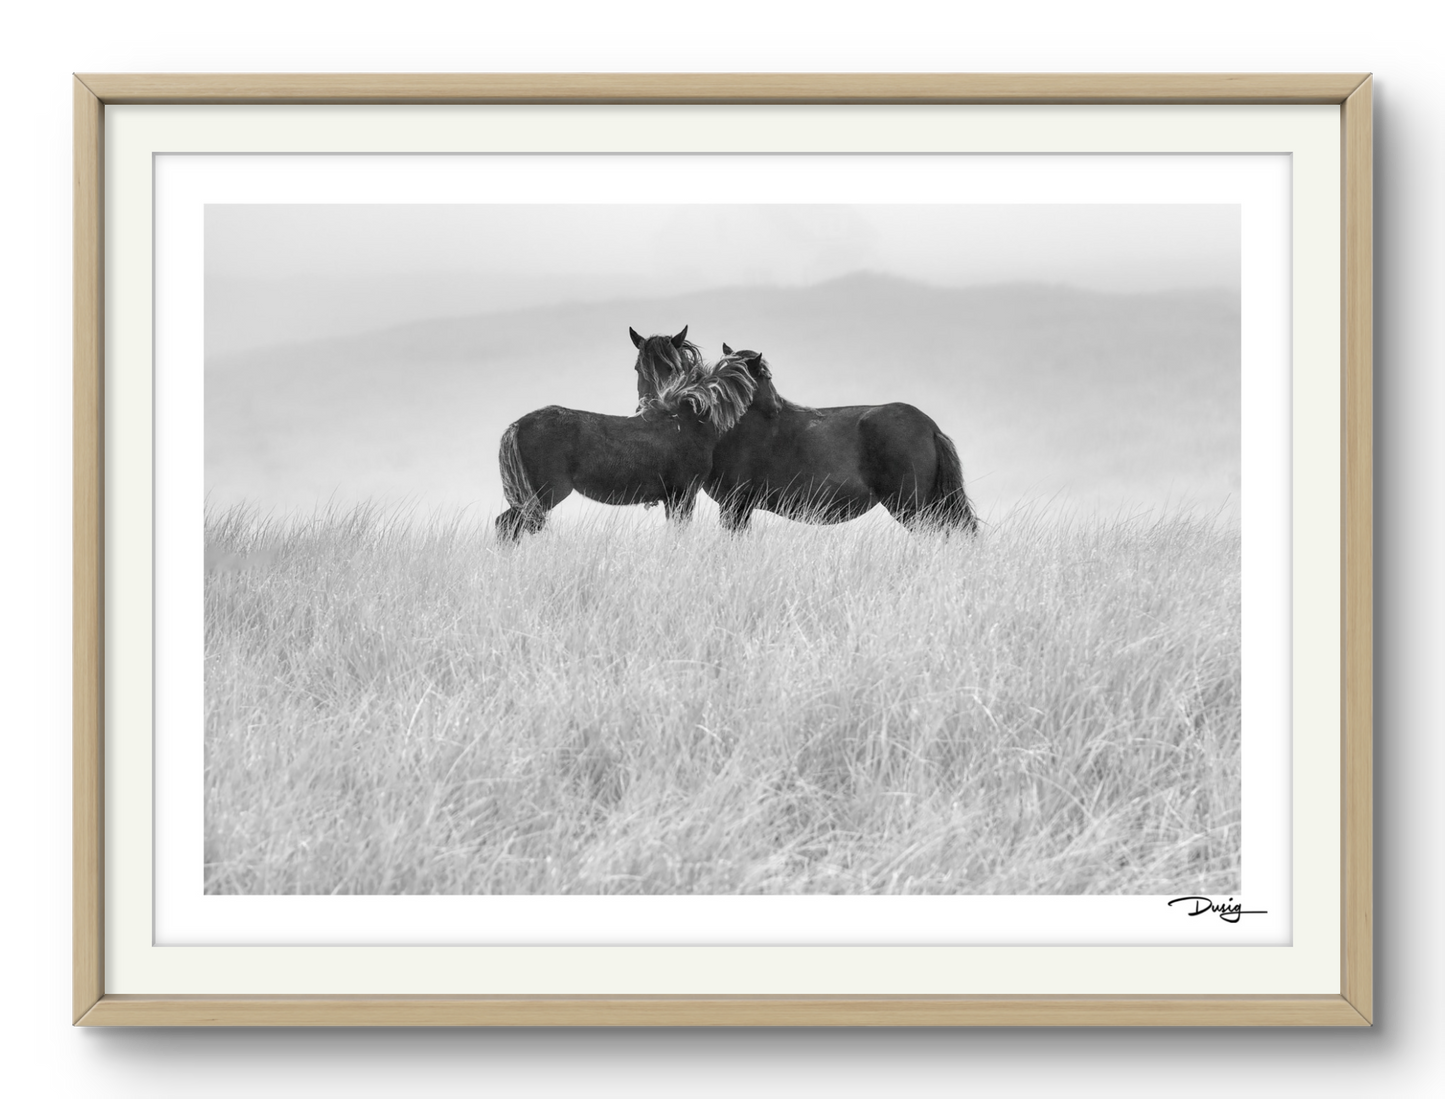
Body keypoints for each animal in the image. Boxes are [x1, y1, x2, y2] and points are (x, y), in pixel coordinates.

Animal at [499, 335, 757, 540]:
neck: (688, 420)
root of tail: (517, 425)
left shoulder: (672, 498)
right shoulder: (683, 495)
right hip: (544, 494)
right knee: (508, 524)